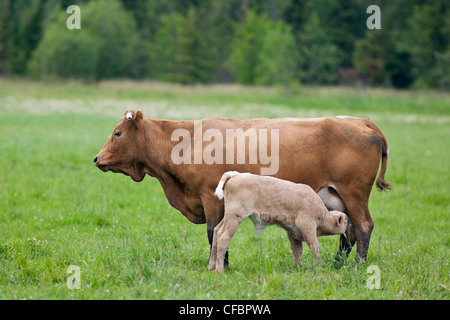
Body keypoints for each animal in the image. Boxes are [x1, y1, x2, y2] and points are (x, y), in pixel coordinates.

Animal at [95, 109, 390, 262]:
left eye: (117, 133)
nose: (97, 158)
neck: (187, 141)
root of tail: (360, 121)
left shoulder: (211, 197)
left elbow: (214, 233)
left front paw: (221, 264)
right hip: (336, 197)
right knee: (348, 230)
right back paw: (338, 264)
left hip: (354, 193)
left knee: (363, 227)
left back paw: (357, 265)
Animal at [207, 172, 348, 272]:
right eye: (346, 221)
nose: (350, 223)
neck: (322, 216)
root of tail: (235, 175)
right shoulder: (307, 226)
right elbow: (315, 247)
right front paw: (320, 264)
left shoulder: (293, 231)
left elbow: (297, 250)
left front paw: (298, 267)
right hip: (234, 216)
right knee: (223, 236)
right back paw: (219, 270)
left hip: (227, 216)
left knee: (216, 232)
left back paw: (211, 266)